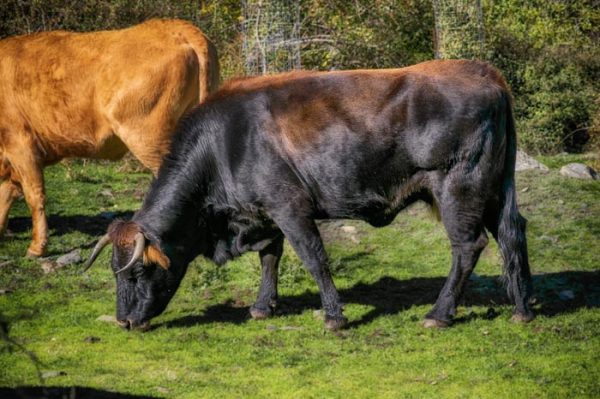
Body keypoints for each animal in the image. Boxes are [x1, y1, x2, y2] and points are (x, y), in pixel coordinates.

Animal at [0, 18, 219, 256]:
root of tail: (177, 26)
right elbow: (6, 193)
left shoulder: (20, 144)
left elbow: (33, 195)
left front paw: (37, 247)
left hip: (148, 136)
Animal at [85, 60, 536, 332]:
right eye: (114, 272)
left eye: (137, 273)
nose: (124, 321)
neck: (224, 142)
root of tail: (481, 72)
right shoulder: (264, 214)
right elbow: (270, 258)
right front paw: (262, 306)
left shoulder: (290, 207)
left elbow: (314, 258)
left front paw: (334, 317)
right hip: (494, 192)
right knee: (513, 233)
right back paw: (523, 308)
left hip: (459, 190)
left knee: (469, 246)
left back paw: (439, 314)